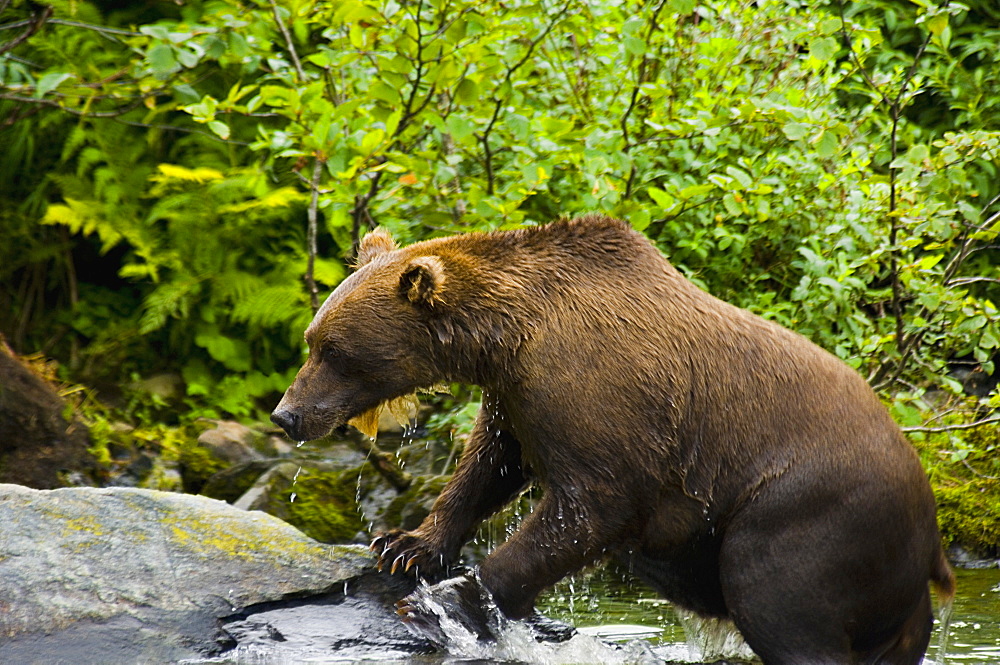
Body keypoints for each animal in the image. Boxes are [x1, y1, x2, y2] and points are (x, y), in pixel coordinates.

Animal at [272, 215, 952, 660]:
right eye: (312, 339)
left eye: (334, 351)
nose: (287, 415)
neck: (506, 337)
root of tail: (931, 528)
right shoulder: (515, 396)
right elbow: (488, 465)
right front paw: (405, 545)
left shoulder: (597, 396)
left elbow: (590, 508)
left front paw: (446, 601)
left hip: (807, 514)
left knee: (783, 603)